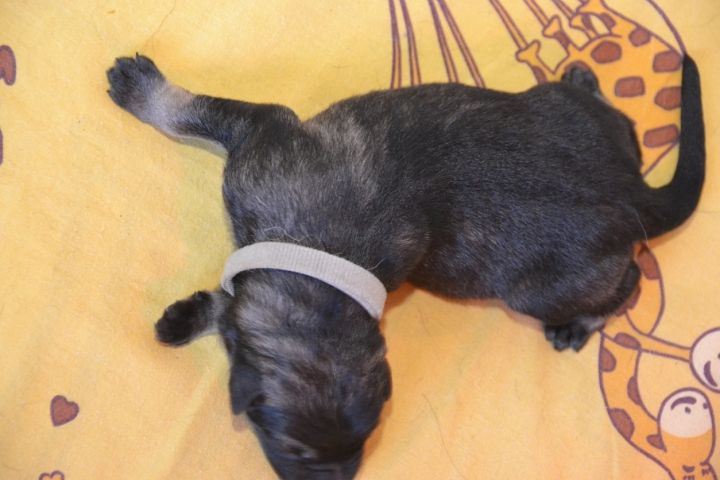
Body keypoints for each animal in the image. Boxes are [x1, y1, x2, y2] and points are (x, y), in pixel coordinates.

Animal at [106, 53, 703, 479]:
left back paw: (579, 325)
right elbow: (193, 113)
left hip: (540, 288)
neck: (318, 253)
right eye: (291, 447)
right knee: (615, 122)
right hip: (560, 111)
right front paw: (186, 317)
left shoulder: (264, 134)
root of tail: (631, 191)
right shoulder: (260, 134)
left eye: (368, 436)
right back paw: (584, 78)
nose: (340, 478)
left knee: (629, 279)